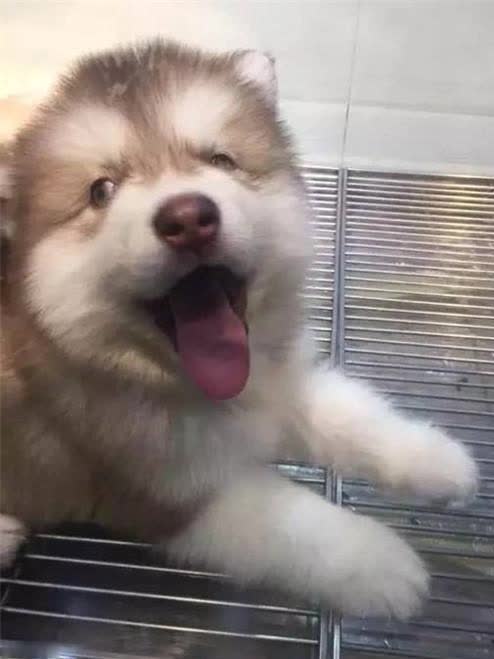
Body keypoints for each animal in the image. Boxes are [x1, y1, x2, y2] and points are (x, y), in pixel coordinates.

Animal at [0, 39, 478, 618]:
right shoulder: (162, 493)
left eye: (221, 160)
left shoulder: (282, 381)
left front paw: (438, 459)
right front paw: (383, 565)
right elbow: (294, 525)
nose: (187, 218)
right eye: (100, 191)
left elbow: (353, 417)